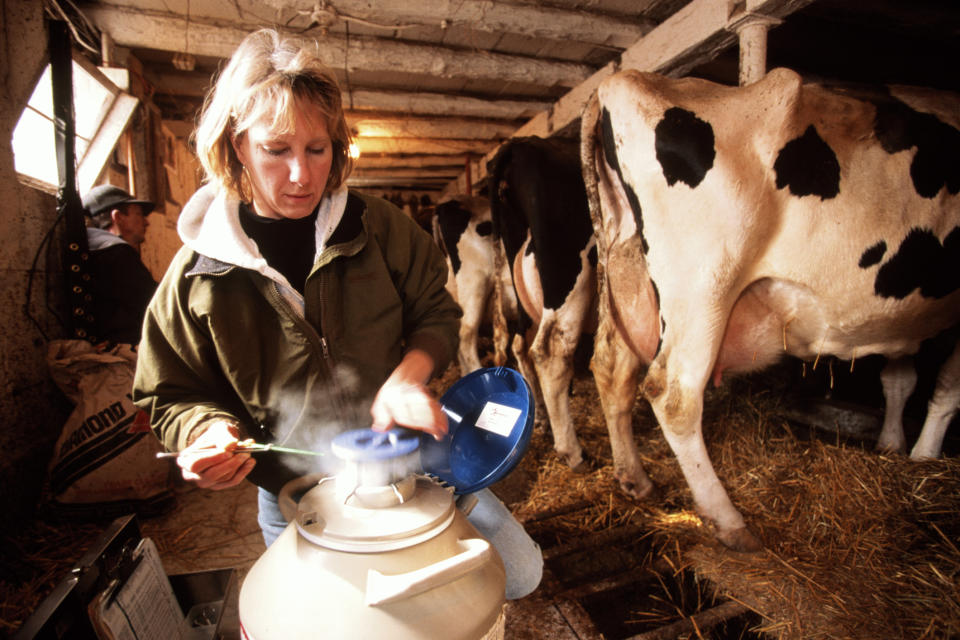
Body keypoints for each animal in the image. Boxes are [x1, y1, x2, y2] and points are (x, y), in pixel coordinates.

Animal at [492, 136, 596, 470]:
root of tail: (520, 144)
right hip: (569, 279)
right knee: (549, 352)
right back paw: (573, 453)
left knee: (520, 345)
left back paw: (541, 419)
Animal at [576, 69, 960, 552]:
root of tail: (621, 80)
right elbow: (946, 389)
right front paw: (925, 456)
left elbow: (900, 380)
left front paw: (892, 446)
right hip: (705, 283)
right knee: (673, 394)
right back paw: (729, 522)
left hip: (626, 274)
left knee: (612, 368)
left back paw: (635, 480)